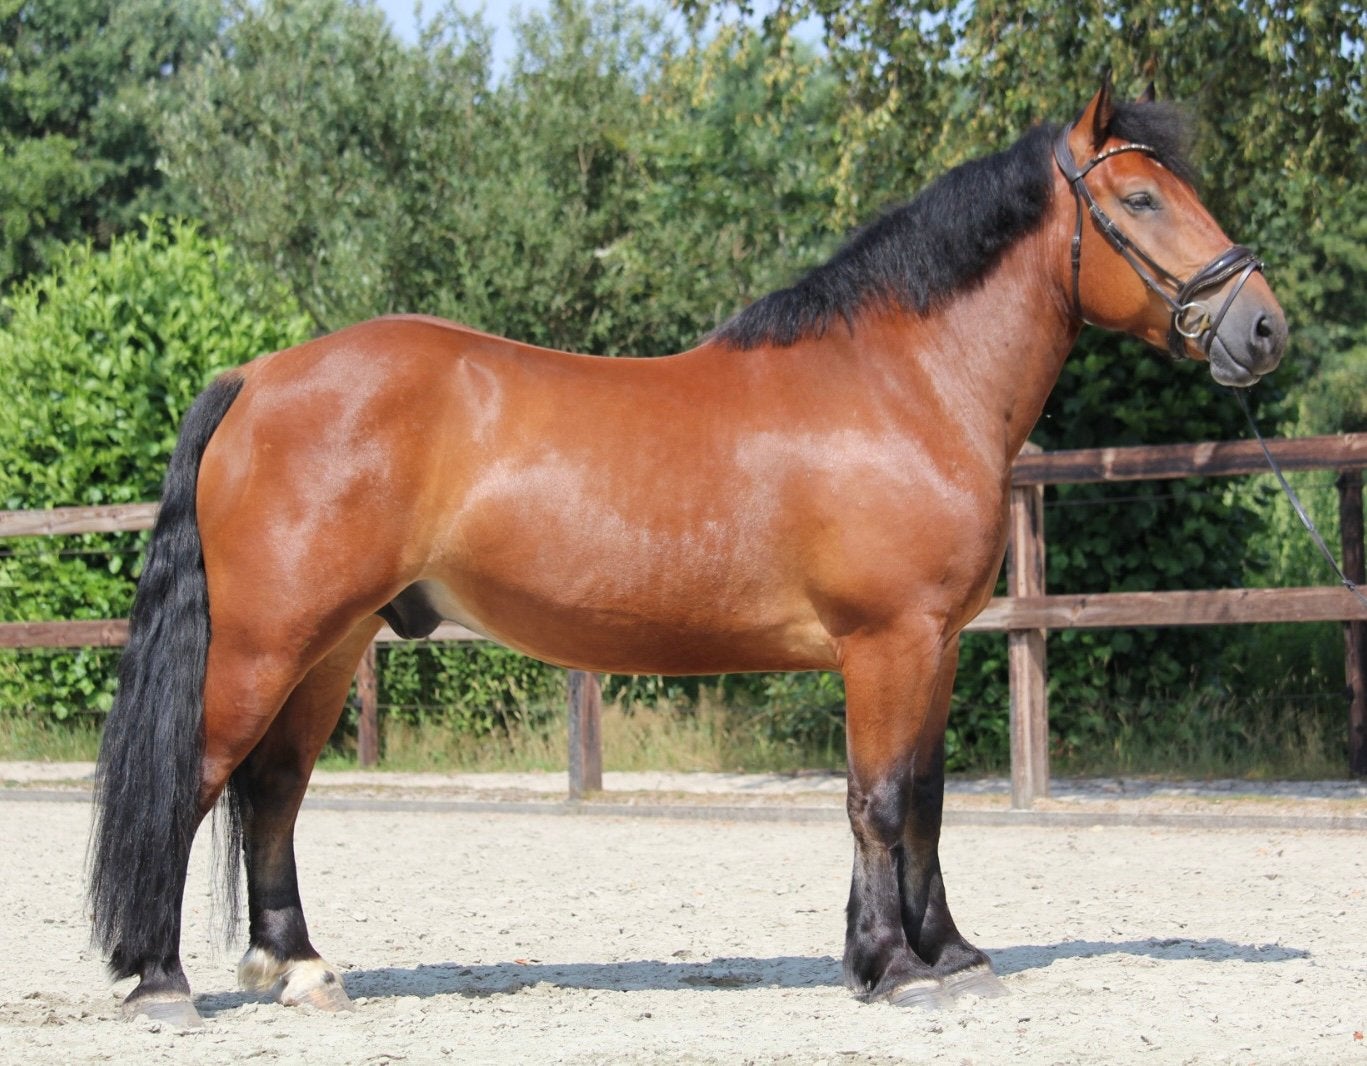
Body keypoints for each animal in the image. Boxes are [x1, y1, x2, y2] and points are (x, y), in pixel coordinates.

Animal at [87, 75, 1285, 1026]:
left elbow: (924, 801)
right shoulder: (887, 643)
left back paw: (297, 967)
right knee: (198, 779)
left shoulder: (936, 646)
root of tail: (259, 375)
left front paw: (944, 953)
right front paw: (893, 967)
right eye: (1140, 200)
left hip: (330, 648)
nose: (1263, 325)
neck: (903, 384)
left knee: (274, 790)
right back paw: (159, 981)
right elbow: (879, 800)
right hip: (263, 644)